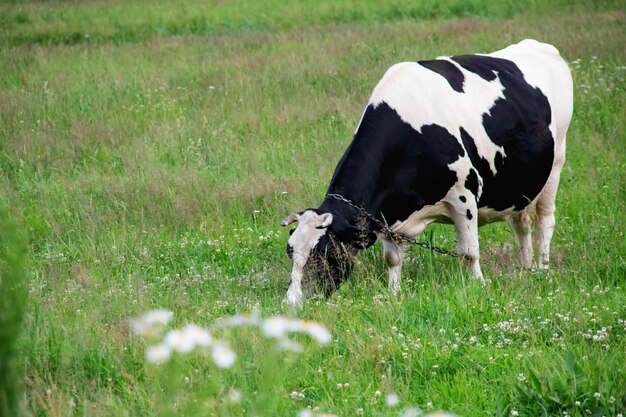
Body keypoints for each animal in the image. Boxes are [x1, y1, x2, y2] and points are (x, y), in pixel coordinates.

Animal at [280, 39, 572, 306]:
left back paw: (542, 269)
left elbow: (469, 253)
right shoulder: (389, 214)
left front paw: (478, 285)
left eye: (324, 253)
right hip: (521, 184)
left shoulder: (464, 196)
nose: (290, 303)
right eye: (290, 251)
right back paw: (526, 268)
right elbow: (393, 258)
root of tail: (540, 45)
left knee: (544, 221)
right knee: (521, 223)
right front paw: (394, 293)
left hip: (556, 162)